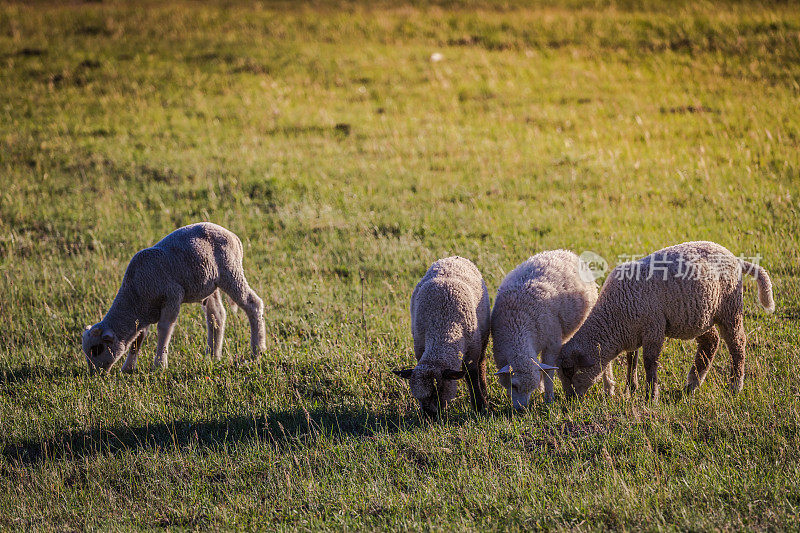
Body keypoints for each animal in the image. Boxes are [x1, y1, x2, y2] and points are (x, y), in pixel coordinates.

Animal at [83, 222, 268, 372]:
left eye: (97, 349)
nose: (95, 374)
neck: (134, 294)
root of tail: (234, 236)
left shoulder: (172, 296)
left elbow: (164, 328)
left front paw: (159, 365)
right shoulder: (144, 312)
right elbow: (138, 338)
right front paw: (128, 368)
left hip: (230, 272)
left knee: (253, 303)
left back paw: (257, 351)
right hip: (210, 284)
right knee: (216, 316)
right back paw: (212, 356)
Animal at [392, 256, 490, 418]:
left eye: (438, 391)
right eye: (417, 397)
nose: (429, 417)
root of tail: (453, 257)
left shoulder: (472, 351)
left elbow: (472, 377)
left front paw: (480, 406)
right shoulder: (420, 347)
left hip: (483, 336)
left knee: (481, 364)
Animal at [494, 249, 600, 408]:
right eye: (514, 385)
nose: (521, 410)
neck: (517, 324)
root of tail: (566, 252)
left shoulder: (552, 344)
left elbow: (548, 372)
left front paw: (549, 398)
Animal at [556, 241, 776, 400]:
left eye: (569, 371)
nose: (569, 401)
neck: (613, 318)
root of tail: (735, 259)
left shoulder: (653, 328)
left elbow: (649, 363)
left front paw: (650, 397)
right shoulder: (633, 332)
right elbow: (631, 360)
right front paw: (630, 389)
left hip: (730, 309)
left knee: (737, 344)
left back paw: (735, 386)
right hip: (700, 314)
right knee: (710, 342)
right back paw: (692, 384)